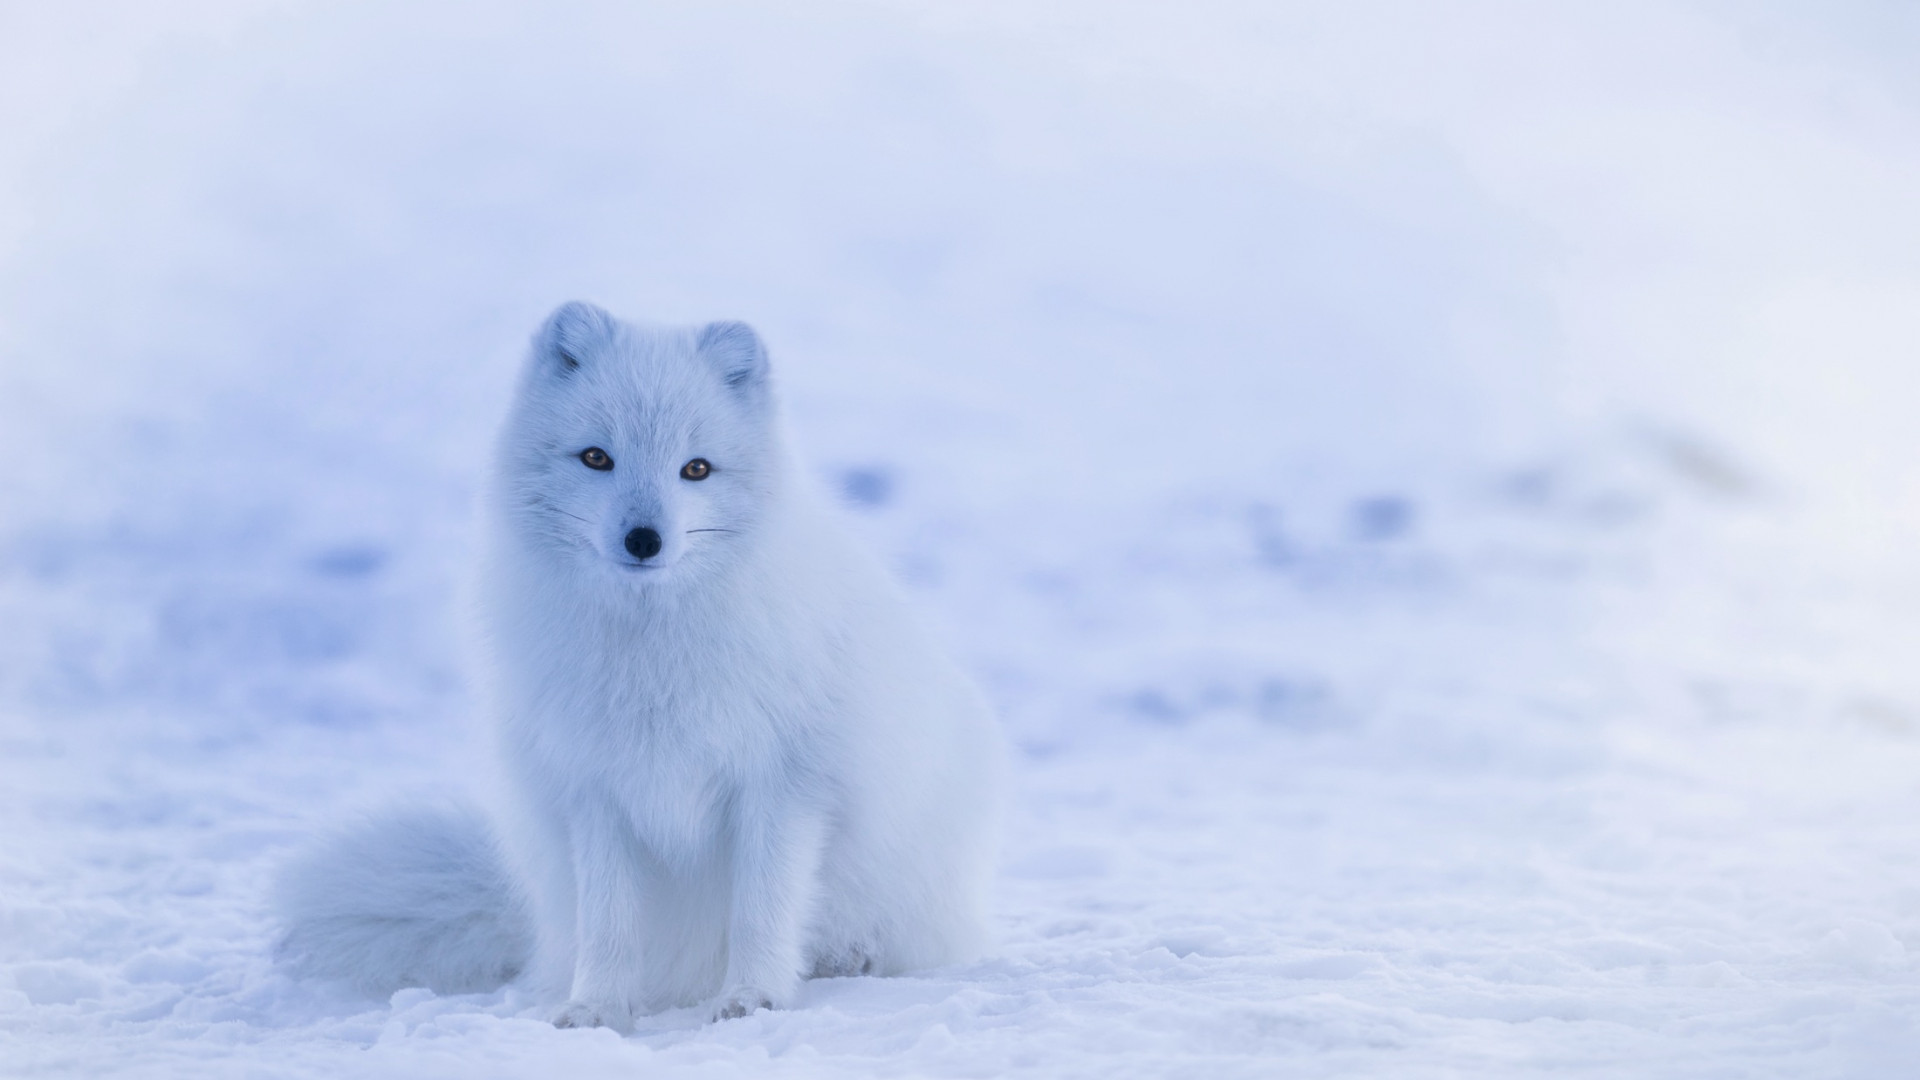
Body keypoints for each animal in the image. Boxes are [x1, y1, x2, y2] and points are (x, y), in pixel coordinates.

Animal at [284, 299, 1013, 1022]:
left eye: (696, 468)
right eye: (596, 457)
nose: (643, 539)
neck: (650, 650)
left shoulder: (782, 785)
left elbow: (762, 908)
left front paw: (751, 996)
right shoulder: (596, 791)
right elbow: (609, 922)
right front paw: (598, 1008)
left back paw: (847, 959)